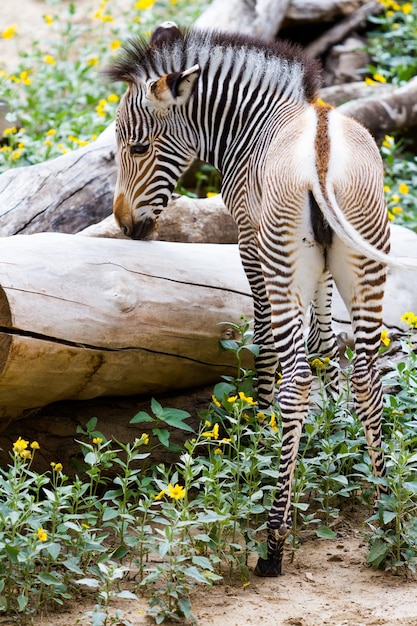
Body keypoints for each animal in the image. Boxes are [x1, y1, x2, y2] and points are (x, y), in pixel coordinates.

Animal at [106, 24, 412, 576]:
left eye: (136, 146)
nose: (123, 224)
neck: (254, 126)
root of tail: (321, 155)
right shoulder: (323, 270)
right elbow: (324, 341)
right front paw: (333, 440)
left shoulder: (249, 244)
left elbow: (268, 344)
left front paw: (257, 436)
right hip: (364, 259)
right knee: (368, 377)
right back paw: (387, 520)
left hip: (282, 260)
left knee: (296, 380)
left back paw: (272, 540)